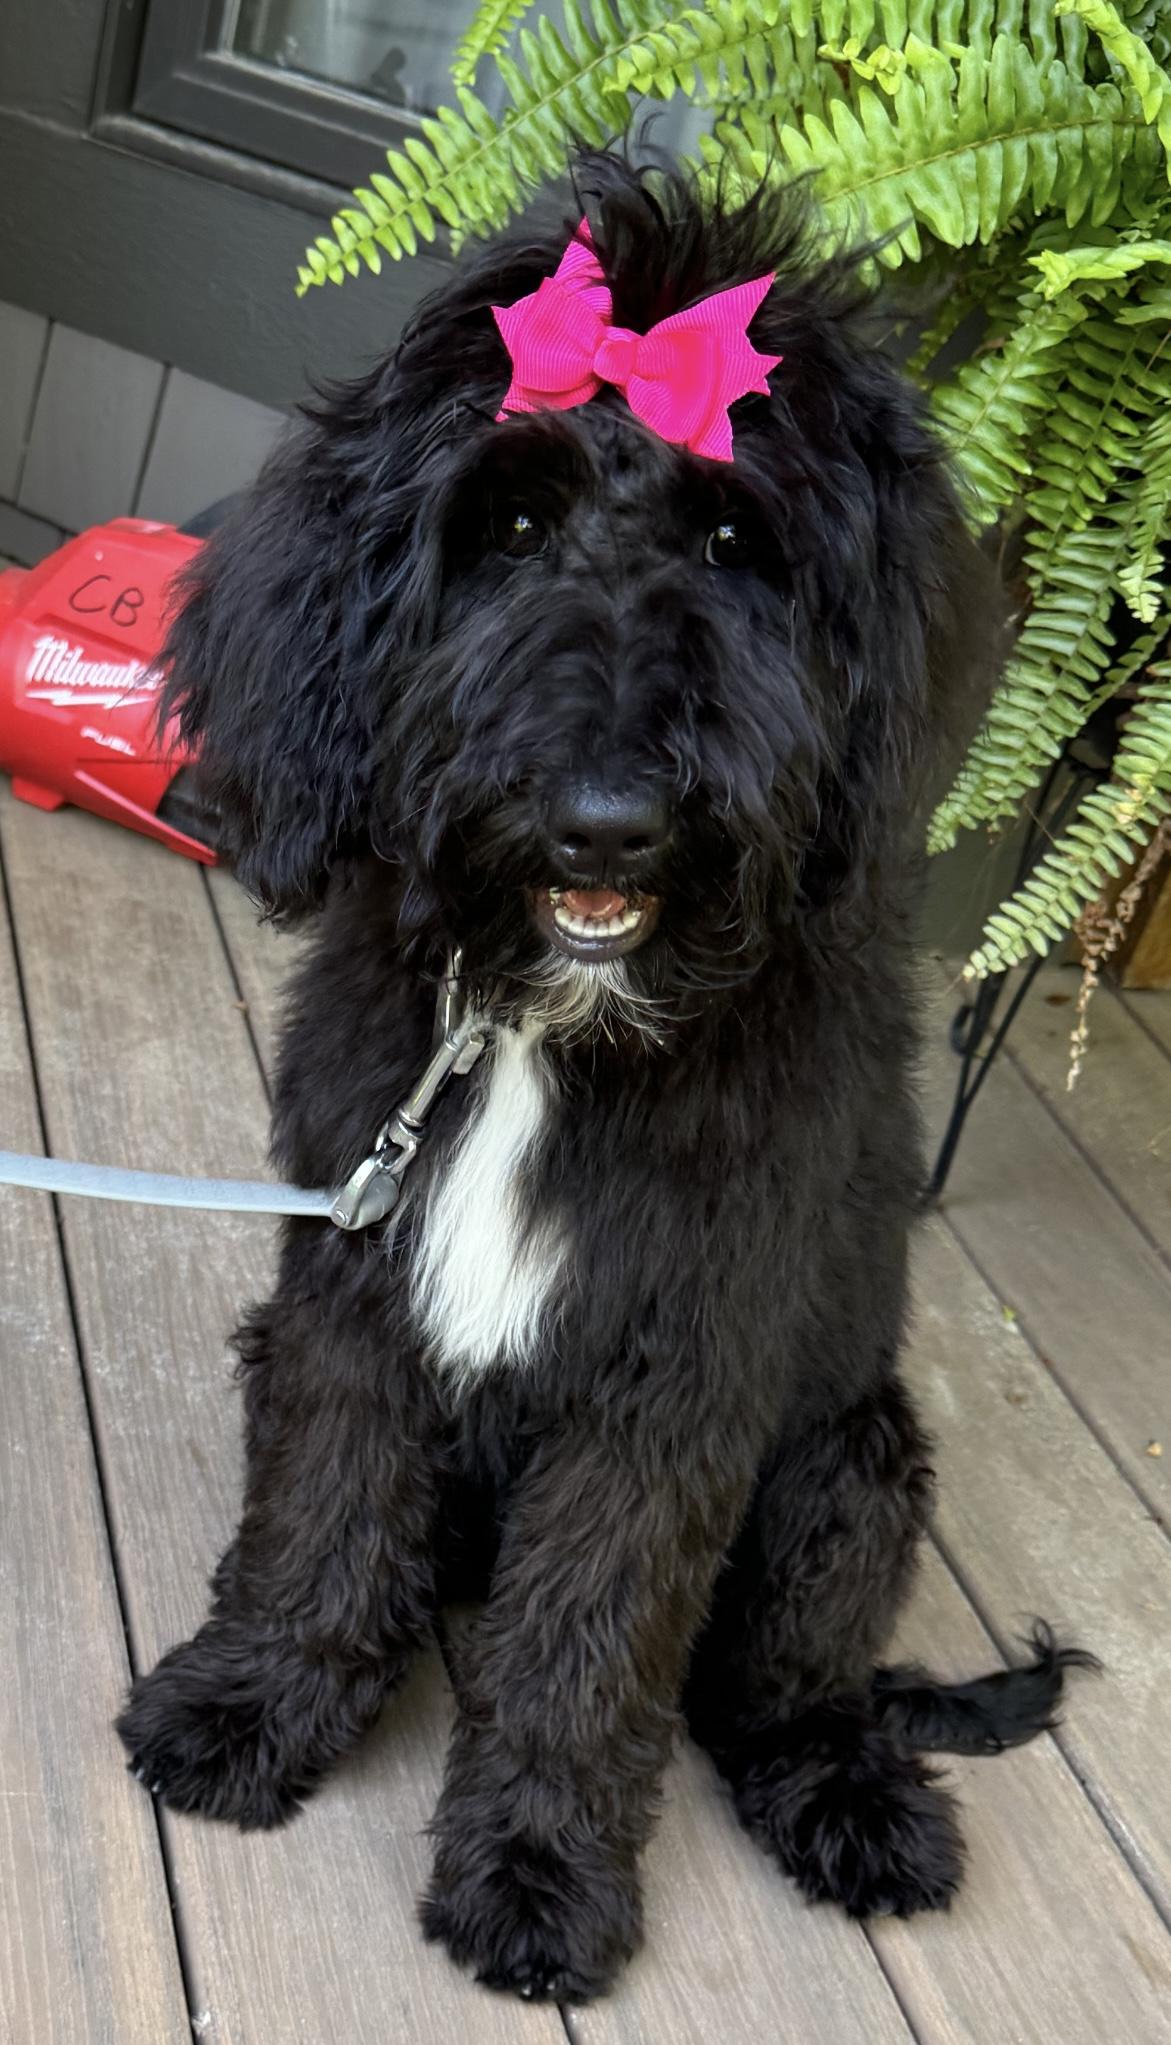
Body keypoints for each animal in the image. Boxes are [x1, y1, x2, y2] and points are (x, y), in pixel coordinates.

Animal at [117, 156, 1088, 2004]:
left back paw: (850, 1797)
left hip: (853, 1467)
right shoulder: (355, 1289)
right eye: (503, 531)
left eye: (733, 542)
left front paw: (535, 1872)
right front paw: (256, 1704)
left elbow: (590, 1638)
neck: (549, 1037)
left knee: (776, 1689)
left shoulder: (670, 1377)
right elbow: (328, 1510)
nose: (606, 823)